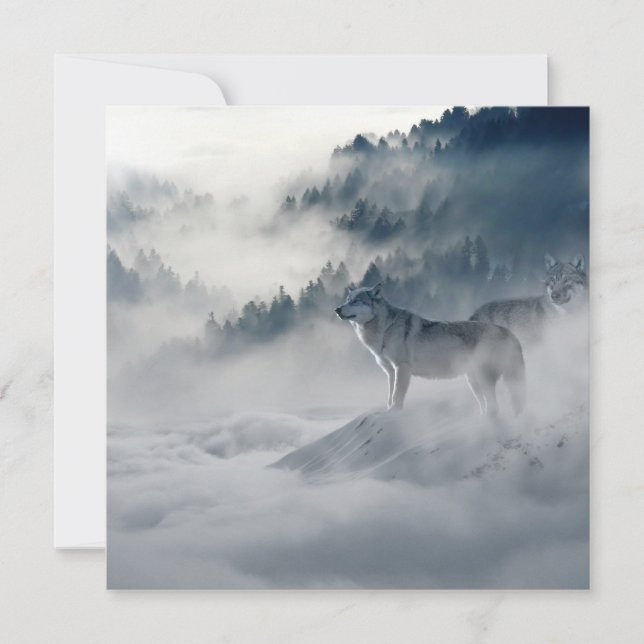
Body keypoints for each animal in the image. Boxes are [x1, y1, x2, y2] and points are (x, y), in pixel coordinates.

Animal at [335, 283, 525, 416]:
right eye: (347, 300)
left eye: (356, 301)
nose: (337, 309)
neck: (385, 329)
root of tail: (509, 332)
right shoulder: (390, 371)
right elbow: (389, 396)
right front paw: (388, 411)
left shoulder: (401, 368)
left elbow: (397, 396)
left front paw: (395, 412)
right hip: (473, 381)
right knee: (488, 405)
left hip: (483, 379)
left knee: (495, 406)